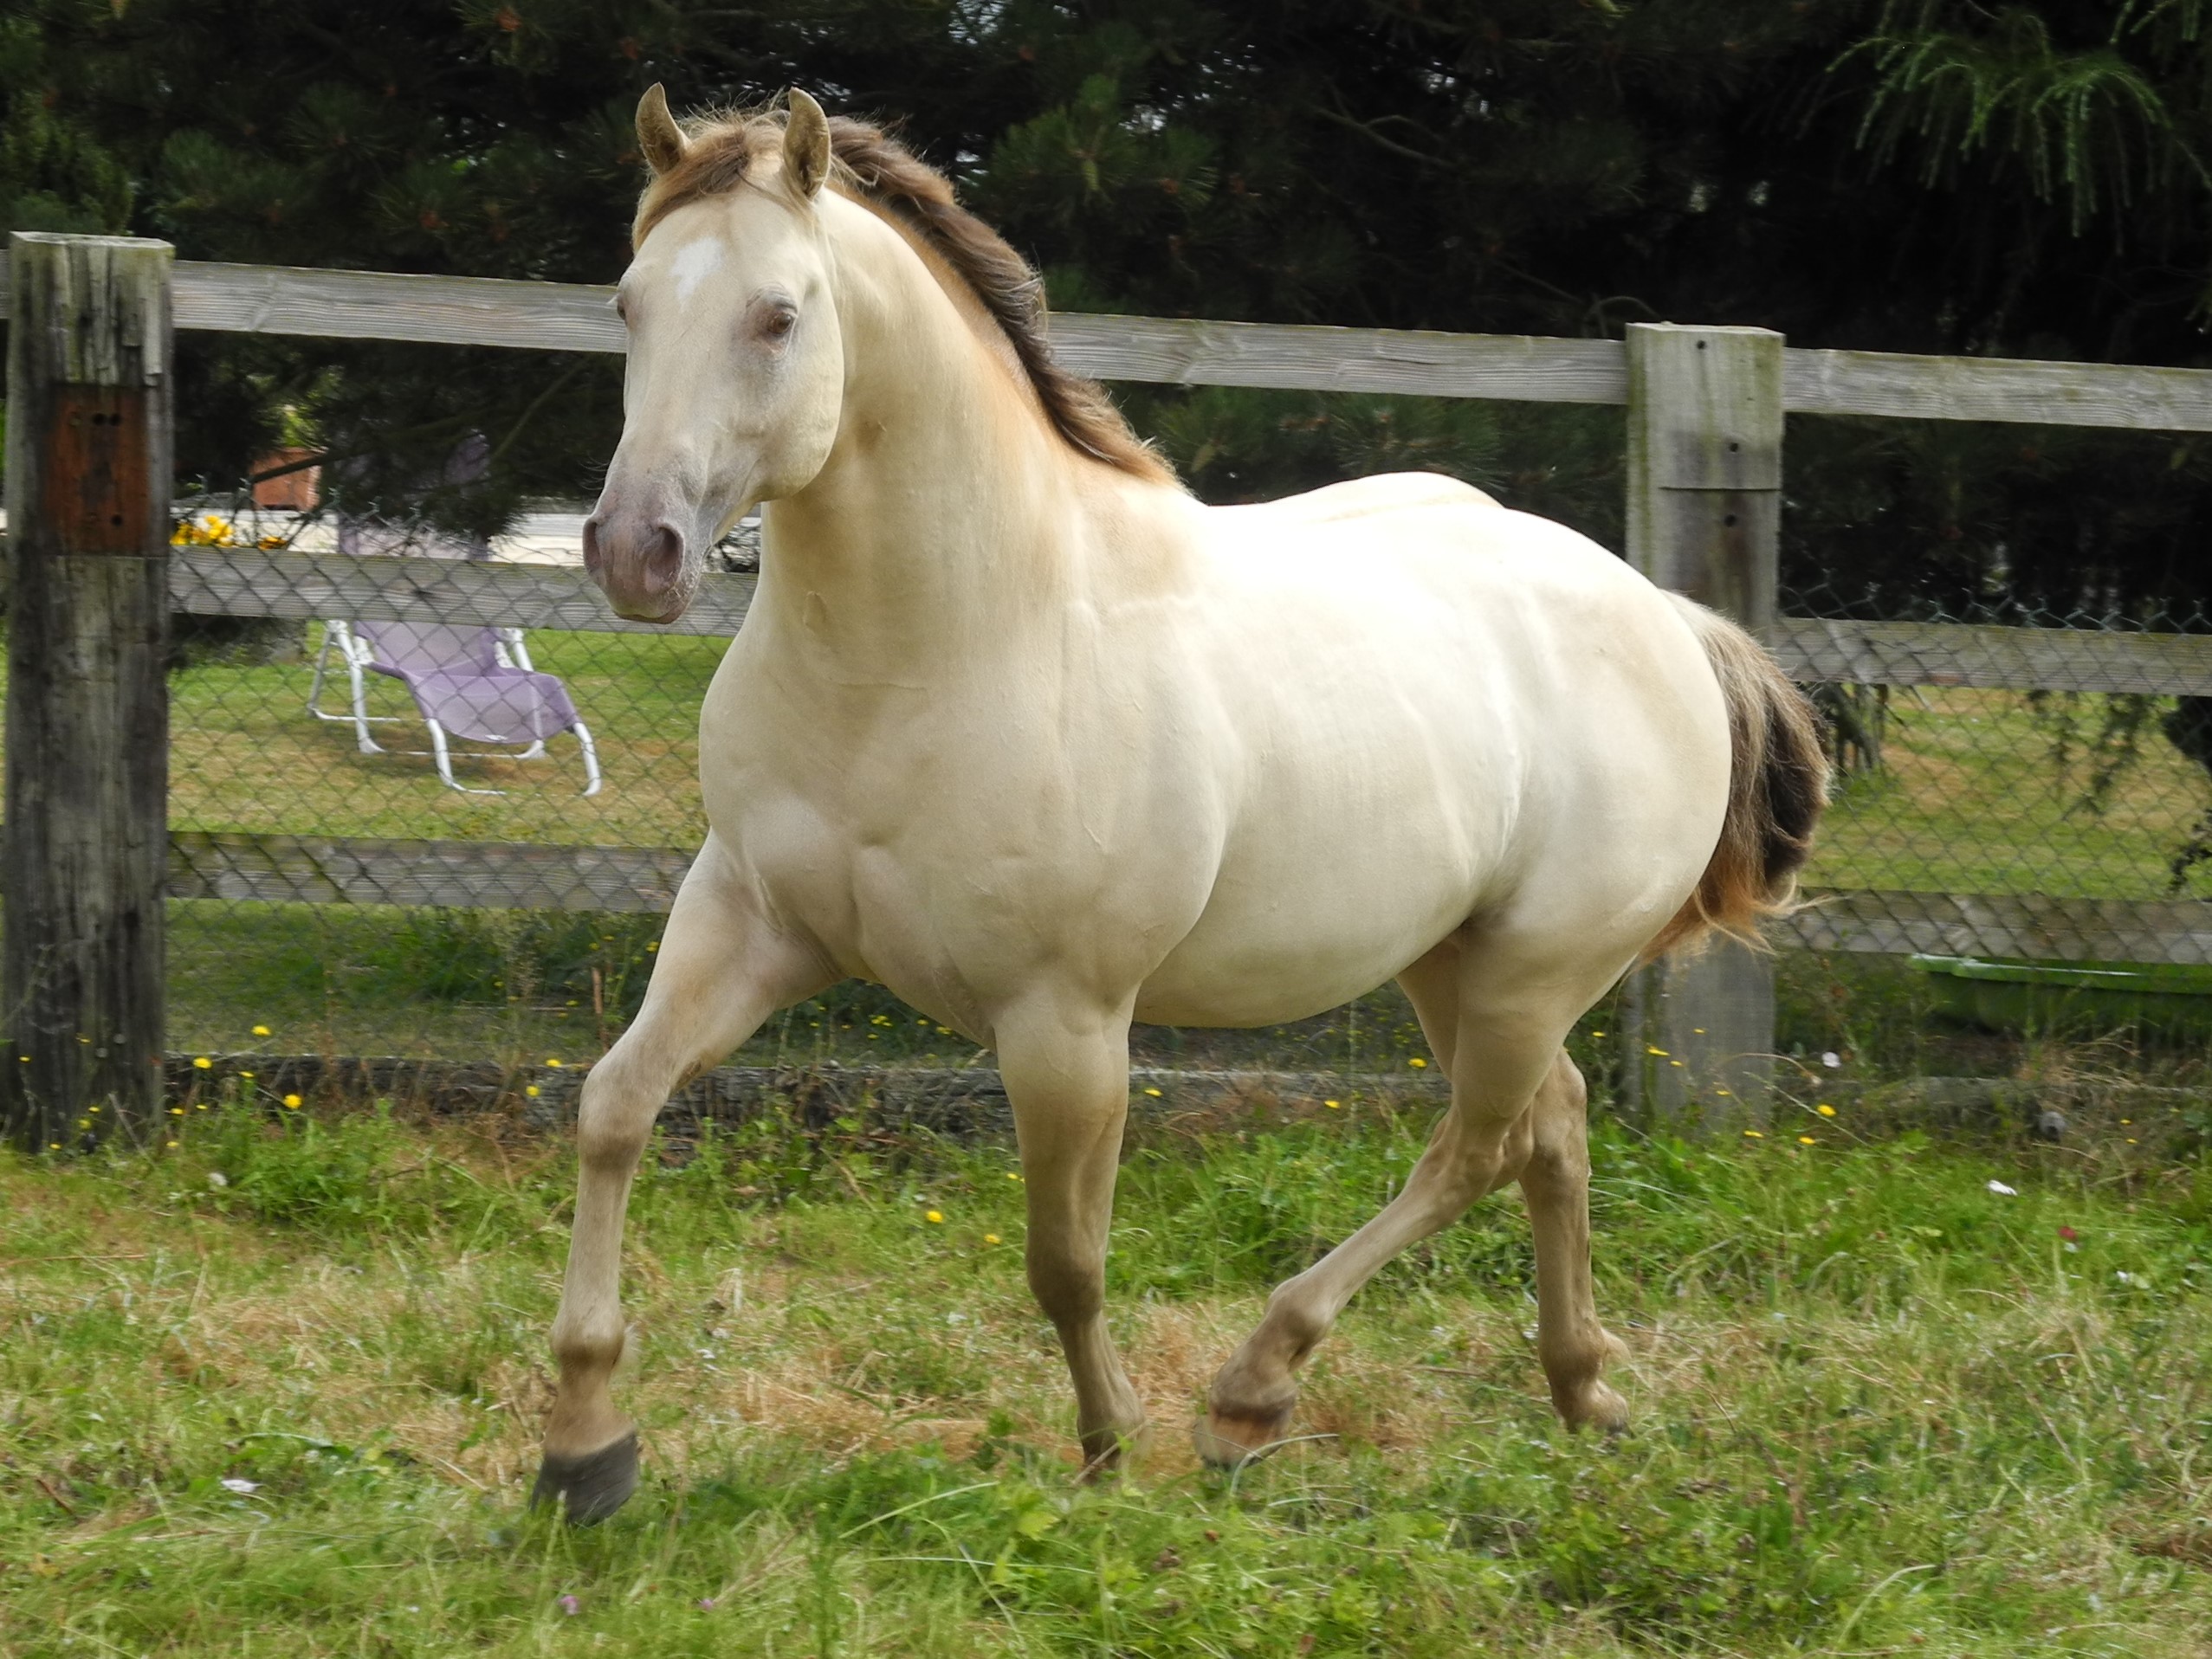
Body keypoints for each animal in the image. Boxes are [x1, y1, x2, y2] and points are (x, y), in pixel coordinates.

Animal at [534, 84, 1827, 1521]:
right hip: (1453, 961)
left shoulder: (1065, 1020)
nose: (634, 552)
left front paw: (1109, 1449)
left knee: (1480, 1149)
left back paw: (1249, 1397)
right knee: (1551, 1129)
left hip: (1533, 972)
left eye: (777, 314)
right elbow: (614, 1107)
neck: (950, 642)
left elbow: (1064, 1256)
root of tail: (1666, 619)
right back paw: (1579, 1393)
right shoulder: (752, 927)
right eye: (627, 304)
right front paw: (583, 1445)